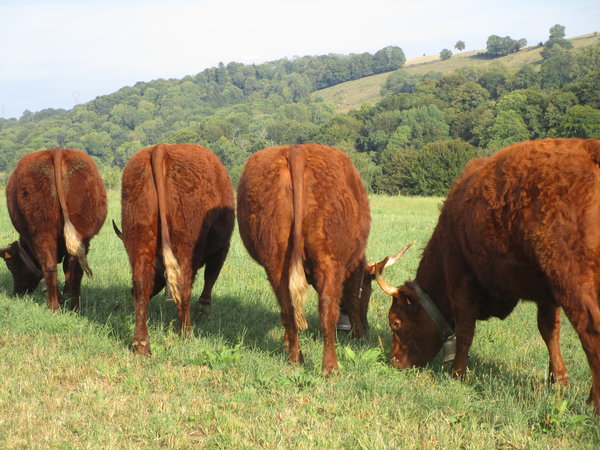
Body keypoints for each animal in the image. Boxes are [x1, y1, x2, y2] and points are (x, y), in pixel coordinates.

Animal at [1, 148, 107, 310]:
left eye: (11, 265)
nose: (16, 293)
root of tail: (57, 151)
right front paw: (66, 293)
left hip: (42, 232)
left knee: (49, 267)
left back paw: (53, 307)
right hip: (81, 234)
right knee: (75, 269)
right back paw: (74, 307)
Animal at [118, 144, 236, 356]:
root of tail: (161, 149)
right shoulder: (222, 248)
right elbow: (210, 277)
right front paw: (203, 309)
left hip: (139, 238)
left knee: (141, 283)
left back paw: (141, 344)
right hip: (184, 247)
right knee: (183, 285)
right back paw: (186, 334)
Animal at [237, 145, 406, 376]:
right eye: (369, 292)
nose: (367, 326)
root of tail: (296, 150)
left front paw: (284, 342)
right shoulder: (353, 269)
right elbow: (352, 300)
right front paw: (360, 335)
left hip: (275, 262)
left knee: (288, 309)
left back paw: (296, 357)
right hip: (329, 260)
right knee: (327, 312)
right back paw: (330, 368)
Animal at [372, 138, 600, 414]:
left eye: (395, 322)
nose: (394, 361)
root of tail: (589, 150)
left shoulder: (461, 282)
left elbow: (465, 332)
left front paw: (457, 374)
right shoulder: (545, 292)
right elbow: (549, 331)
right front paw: (558, 379)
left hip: (573, 281)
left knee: (591, 332)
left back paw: (595, 403)